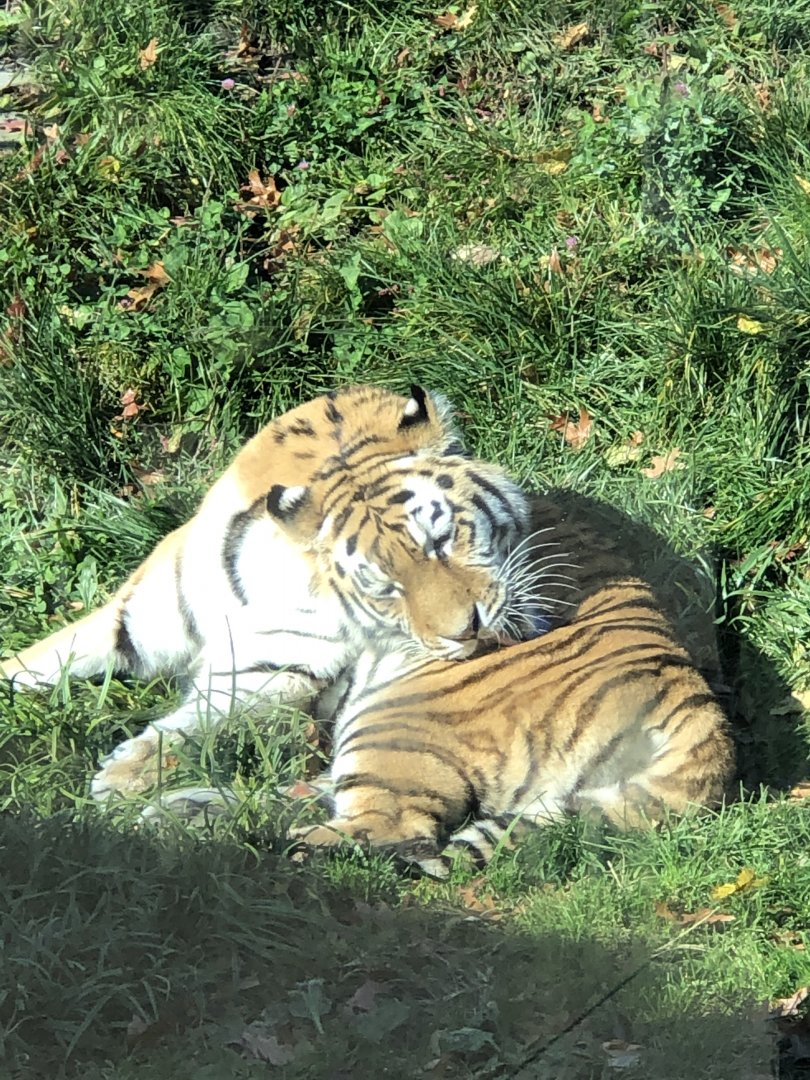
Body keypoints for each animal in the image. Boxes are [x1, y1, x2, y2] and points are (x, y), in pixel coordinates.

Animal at [1, 384, 534, 803]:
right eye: (385, 586)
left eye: (441, 541)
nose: (469, 631)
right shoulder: (133, 622)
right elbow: (34, 664)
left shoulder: (277, 670)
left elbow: (204, 721)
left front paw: (123, 775)